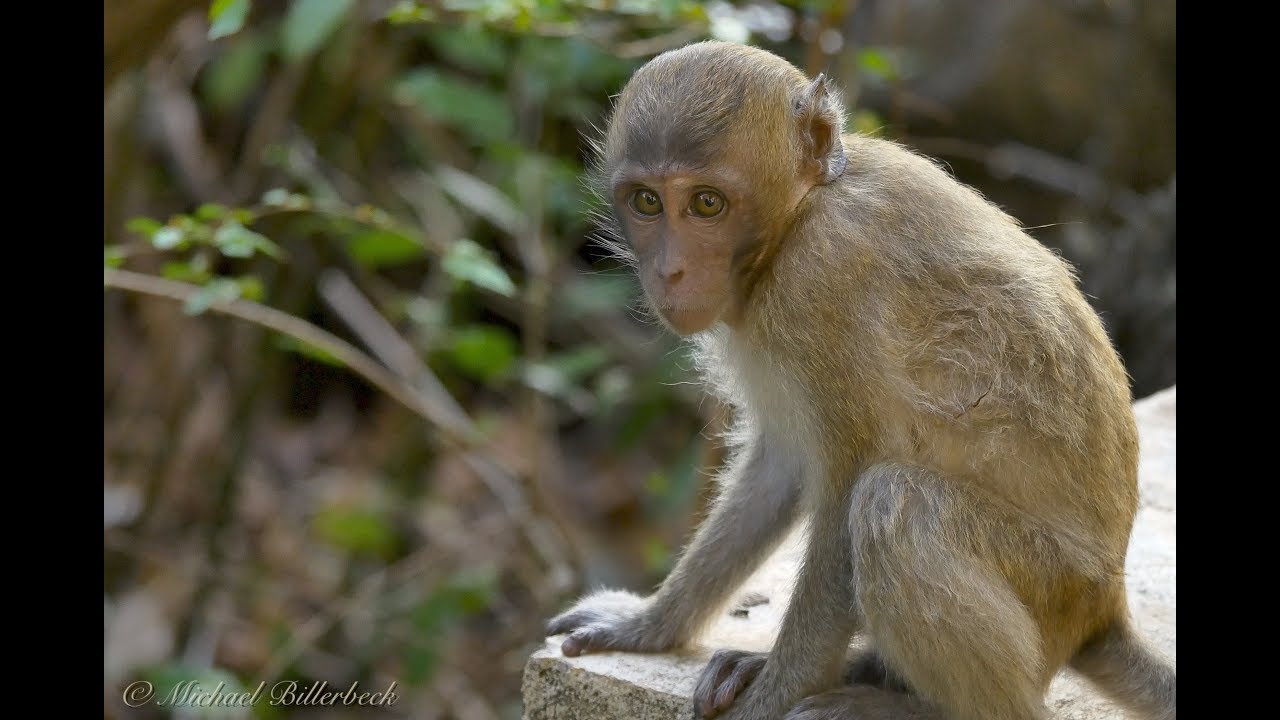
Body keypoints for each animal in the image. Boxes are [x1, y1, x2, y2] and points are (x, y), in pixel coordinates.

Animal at [545, 41, 1175, 720]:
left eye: (707, 203)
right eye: (647, 202)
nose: (670, 271)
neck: (801, 214)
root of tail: (1103, 608)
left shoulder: (819, 281)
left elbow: (845, 488)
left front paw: (774, 695)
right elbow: (779, 466)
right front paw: (650, 625)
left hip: (1052, 585)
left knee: (895, 504)